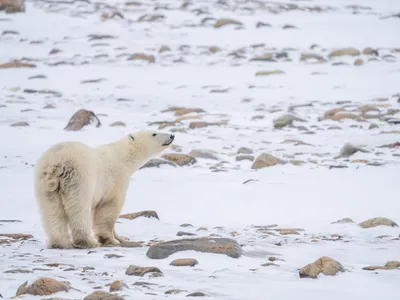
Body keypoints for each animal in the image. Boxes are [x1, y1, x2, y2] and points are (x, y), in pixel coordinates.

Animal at [32, 130, 173, 250]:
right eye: (154, 133)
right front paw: (110, 240)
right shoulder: (115, 181)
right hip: (79, 178)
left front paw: (121, 237)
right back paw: (87, 241)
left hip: (45, 184)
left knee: (52, 210)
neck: (123, 157)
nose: (172, 135)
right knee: (79, 208)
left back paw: (59, 242)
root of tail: (56, 163)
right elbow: (108, 209)